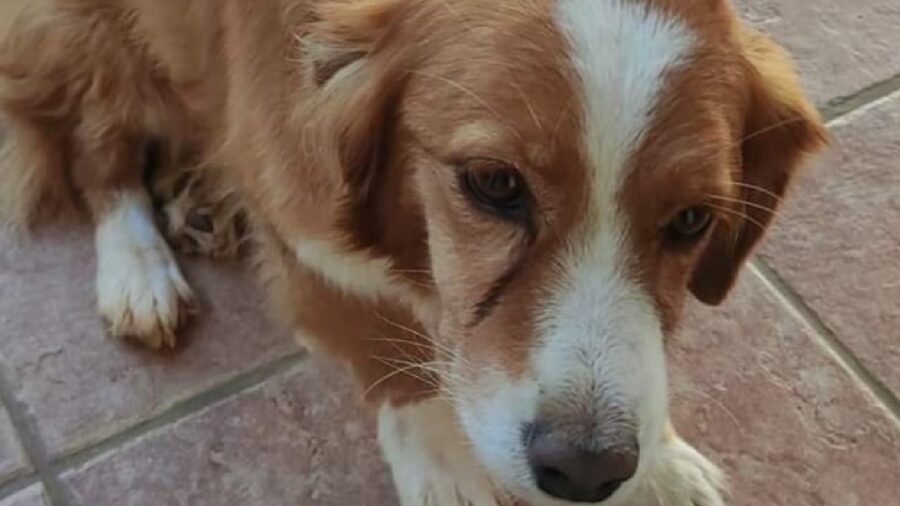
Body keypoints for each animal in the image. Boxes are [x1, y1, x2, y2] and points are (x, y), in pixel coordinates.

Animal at [1, 0, 828, 506]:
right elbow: (375, 329)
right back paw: (137, 268)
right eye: (494, 183)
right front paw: (438, 451)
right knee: (95, 150)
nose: (588, 471)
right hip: (101, 41)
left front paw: (655, 464)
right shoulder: (301, 206)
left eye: (692, 219)